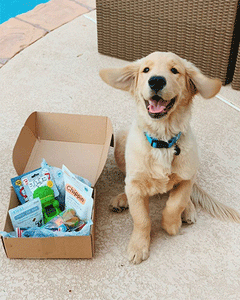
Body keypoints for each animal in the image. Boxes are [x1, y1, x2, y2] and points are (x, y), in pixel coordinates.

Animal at [99, 52, 240, 264]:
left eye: (175, 70)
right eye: (146, 70)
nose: (156, 80)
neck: (163, 141)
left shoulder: (187, 176)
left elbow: (176, 202)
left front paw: (171, 224)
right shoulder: (136, 184)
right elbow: (141, 218)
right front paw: (138, 246)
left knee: (184, 193)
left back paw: (189, 210)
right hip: (121, 142)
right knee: (128, 184)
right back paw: (123, 199)